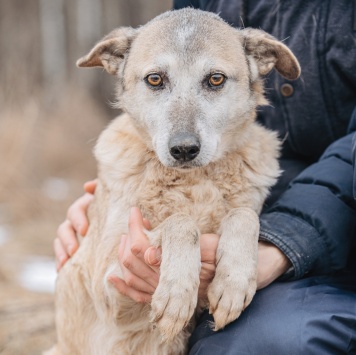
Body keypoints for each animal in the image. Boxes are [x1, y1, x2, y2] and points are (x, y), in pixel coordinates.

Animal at [47, 8, 300, 355]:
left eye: (215, 79)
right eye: (155, 79)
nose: (183, 149)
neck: (195, 182)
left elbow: (244, 215)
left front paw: (233, 282)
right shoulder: (109, 281)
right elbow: (181, 223)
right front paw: (177, 293)